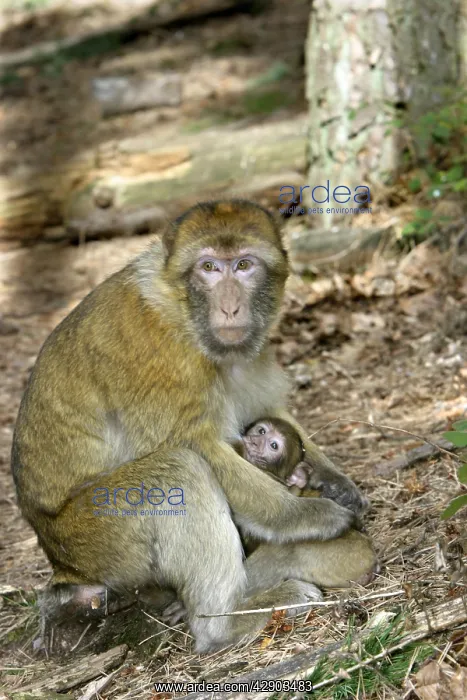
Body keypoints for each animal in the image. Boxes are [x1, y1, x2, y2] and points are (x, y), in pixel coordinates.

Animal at [12, 199, 372, 653]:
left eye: (243, 265)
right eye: (209, 268)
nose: (230, 307)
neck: (181, 312)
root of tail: (60, 561)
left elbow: (266, 404)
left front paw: (334, 482)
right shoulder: (157, 356)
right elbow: (196, 444)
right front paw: (306, 515)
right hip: (95, 539)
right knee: (177, 469)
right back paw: (223, 622)